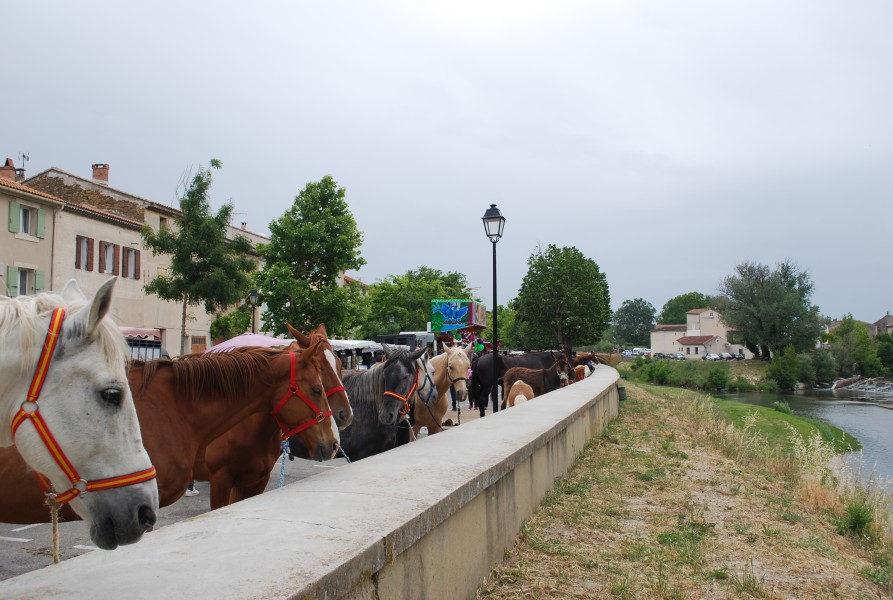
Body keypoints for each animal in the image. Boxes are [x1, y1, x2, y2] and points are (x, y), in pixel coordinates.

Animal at [193, 326, 352, 508]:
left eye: (340, 365)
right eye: (320, 367)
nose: (346, 414)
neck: (245, 427)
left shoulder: (257, 480)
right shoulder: (221, 482)